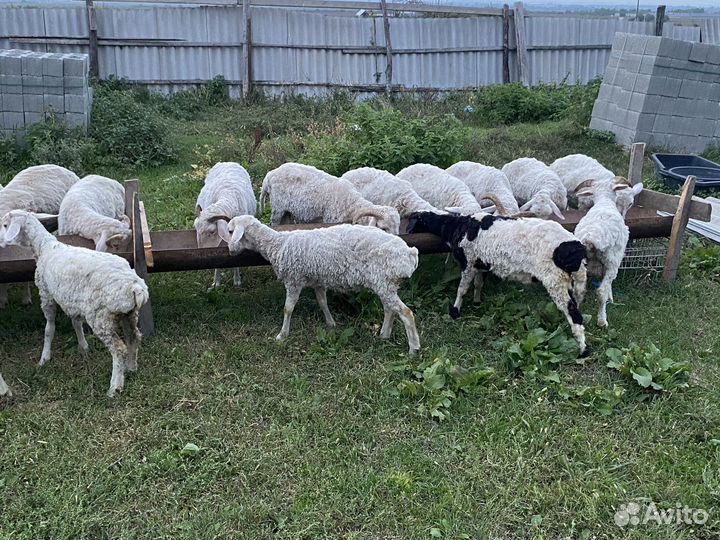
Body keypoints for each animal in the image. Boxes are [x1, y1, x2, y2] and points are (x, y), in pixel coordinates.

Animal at [0, 210, 150, 397]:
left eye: (5, 225)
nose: (1, 241)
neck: (44, 247)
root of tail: (135, 287)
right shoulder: (72, 300)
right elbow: (76, 323)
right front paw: (83, 347)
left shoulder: (46, 294)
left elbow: (49, 328)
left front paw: (44, 357)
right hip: (128, 313)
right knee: (133, 337)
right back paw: (131, 368)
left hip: (101, 317)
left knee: (118, 349)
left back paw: (114, 386)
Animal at [217, 215, 421, 354]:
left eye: (231, 231)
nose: (230, 250)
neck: (277, 244)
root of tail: (410, 253)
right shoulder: (318, 280)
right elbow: (323, 302)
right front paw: (331, 324)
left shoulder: (294, 279)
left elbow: (288, 309)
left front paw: (282, 335)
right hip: (384, 282)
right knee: (390, 309)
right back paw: (384, 335)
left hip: (384, 282)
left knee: (405, 312)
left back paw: (413, 348)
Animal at [260, 163, 400, 235]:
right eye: (384, 228)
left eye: (397, 227)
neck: (352, 204)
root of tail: (269, 175)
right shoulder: (331, 220)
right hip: (278, 208)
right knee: (275, 223)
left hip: (287, 211)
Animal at [407, 211, 589, 356]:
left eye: (414, 220)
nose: (407, 233)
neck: (456, 226)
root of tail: (576, 249)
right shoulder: (481, 265)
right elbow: (478, 284)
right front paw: (477, 302)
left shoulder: (468, 262)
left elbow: (462, 289)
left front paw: (455, 312)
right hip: (574, 281)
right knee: (577, 306)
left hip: (554, 279)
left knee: (574, 314)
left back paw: (583, 351)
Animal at [574, 181, 644, 327]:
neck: (604, 201)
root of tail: (590, 238)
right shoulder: (613, 262)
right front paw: (610, 299)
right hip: (611, 261)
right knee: (601, 292)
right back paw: (602, 321)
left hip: (578, 265)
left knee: (577, 292)